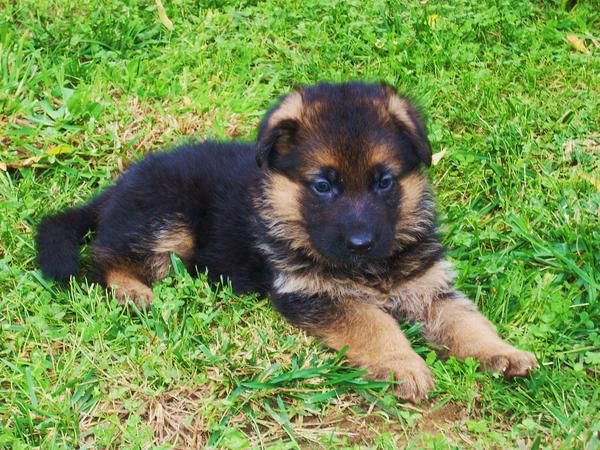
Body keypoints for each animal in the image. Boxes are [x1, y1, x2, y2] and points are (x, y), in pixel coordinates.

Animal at [35, 82, 536, 402]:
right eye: (323, 186)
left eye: (384, 182)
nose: (361, 243)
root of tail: (115, 189)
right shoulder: (318, 294)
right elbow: (375, 324)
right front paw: (403, 364)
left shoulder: (430, 287)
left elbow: (467, 323)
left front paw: (501, 352)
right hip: (169, 221)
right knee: (105, 255)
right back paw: (133, 292)